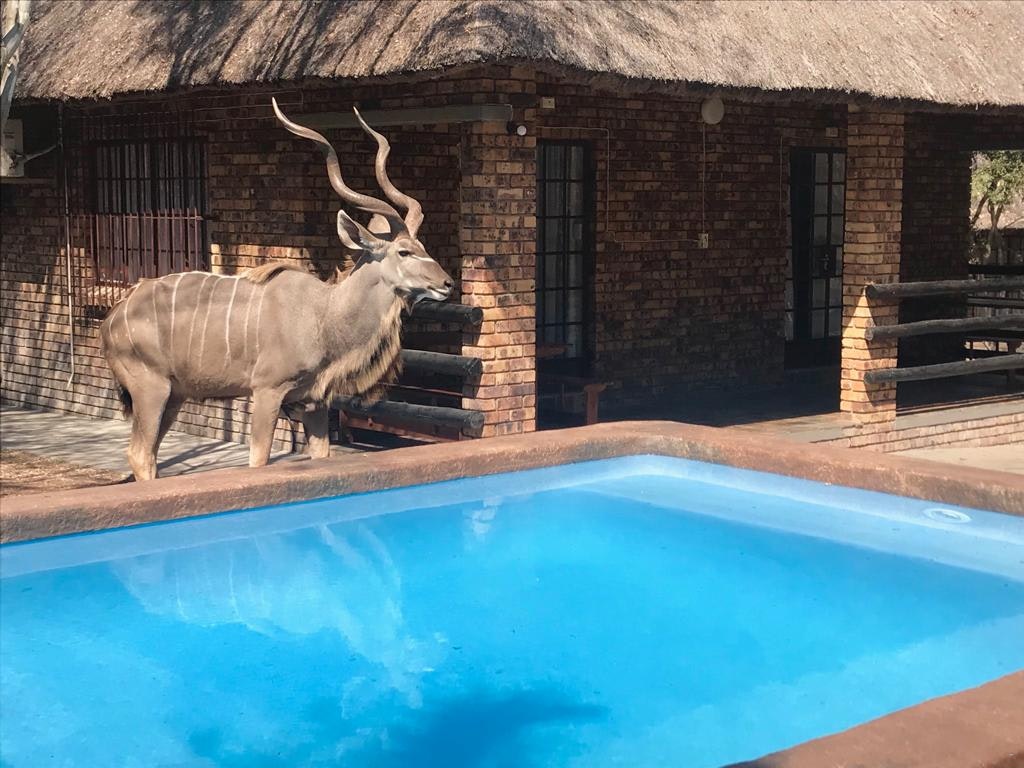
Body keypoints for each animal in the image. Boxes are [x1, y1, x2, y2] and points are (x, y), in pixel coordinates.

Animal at [100, 98, 454, 481]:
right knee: (140, 453)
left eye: (422, 246)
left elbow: (322, 456)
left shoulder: (315, 402)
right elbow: (259, 460)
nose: (447, 283)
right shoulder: (267, 391)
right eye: (404, 252)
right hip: (151, 389)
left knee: (148, 454)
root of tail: (113, 317)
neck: (323, 313)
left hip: (174, 394)